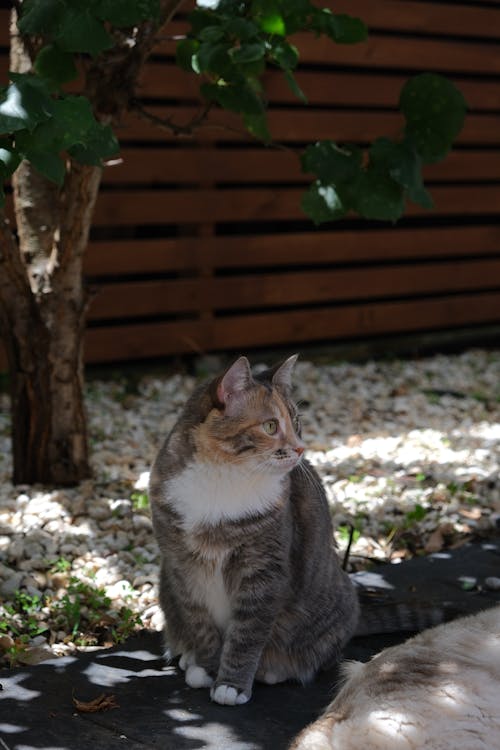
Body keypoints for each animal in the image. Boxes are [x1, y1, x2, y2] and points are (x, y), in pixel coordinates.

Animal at [148, 356, 360, 708]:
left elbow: (246, 635)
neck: (223, 477)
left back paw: (273, 669)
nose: (300, 449)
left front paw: (230, 685)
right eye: (270, 426)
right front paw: (206, 668)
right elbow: (199, 622)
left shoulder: (264, 570)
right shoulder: (182, 567)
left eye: (296, 422)